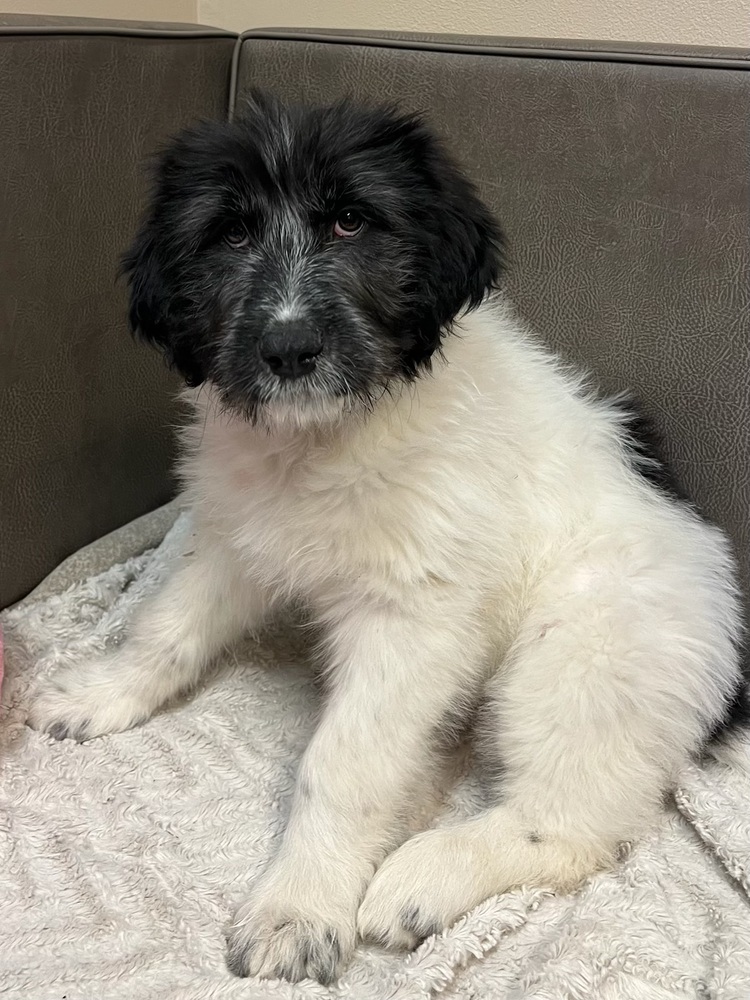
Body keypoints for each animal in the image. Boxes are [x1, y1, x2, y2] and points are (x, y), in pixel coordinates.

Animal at [27, 92, 748, 984]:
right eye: (229, 235)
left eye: (350, 221)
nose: (288, 348)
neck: (327, 440)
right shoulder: (238, 538)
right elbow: (166, 628)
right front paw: (100, 694)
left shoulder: (412, 622)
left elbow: (341, 763)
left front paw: (298, 906)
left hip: (579, 663)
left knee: (572, 829)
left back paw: (425, 875)